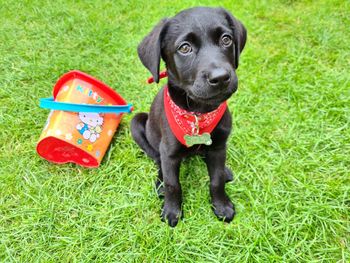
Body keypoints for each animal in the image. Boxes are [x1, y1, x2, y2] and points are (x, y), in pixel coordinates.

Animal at [131, 7, 246, 228]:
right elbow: (172, 183)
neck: (198, 115)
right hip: (137, 123)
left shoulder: (219, 146)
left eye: (226, 39)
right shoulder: (168, 152)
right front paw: (172, 211)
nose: (220, 78)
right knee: (157, 161)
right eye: (185, 48)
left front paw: (221, 206)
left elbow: (216, 179)